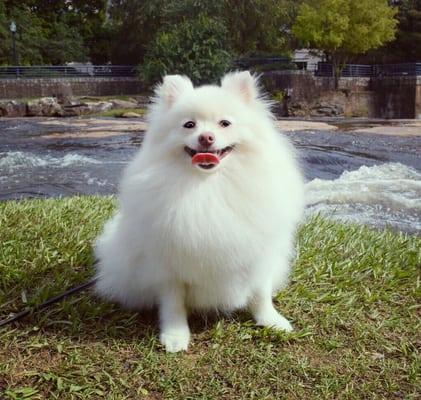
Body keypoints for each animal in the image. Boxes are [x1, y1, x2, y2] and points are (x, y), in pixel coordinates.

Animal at [94, 72, 304, 354]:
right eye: (189, 125)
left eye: (225, 123)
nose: (206, 137)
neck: (207, 185)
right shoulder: (166, 264)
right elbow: (173, 303)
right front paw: (175, 335)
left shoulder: (259, 252)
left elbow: (261, 292)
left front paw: (271, 320)